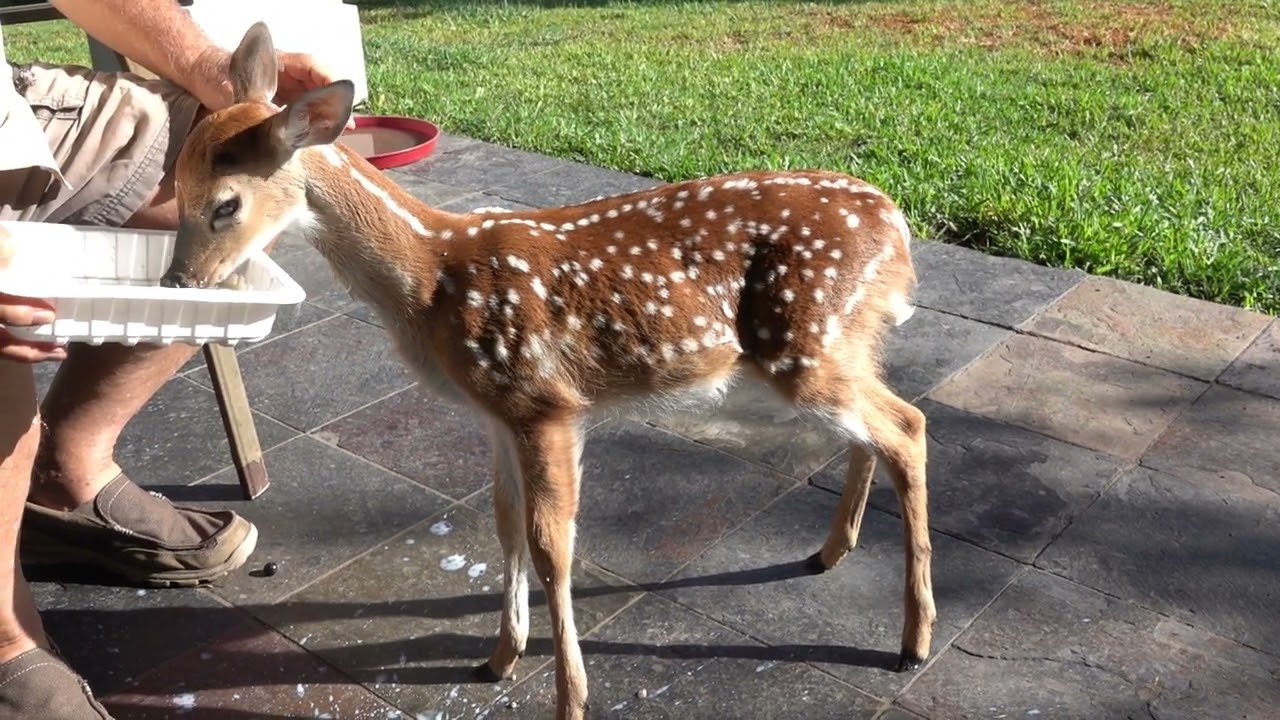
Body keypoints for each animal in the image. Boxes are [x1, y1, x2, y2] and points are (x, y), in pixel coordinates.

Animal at [161, 22, 936, 720]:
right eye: (176, 186)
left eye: (225, 204)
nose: (175, 281)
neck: (432, 273)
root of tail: (898, 226)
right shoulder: (497, 413)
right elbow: (504, 526)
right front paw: (499, 657)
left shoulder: (544, 402)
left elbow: (550, 547)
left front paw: (569, 698)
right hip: (838, 345)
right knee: (881, 425)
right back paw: (832, 552)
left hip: (805, 343)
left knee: (908, 424)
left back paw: (914, 640)